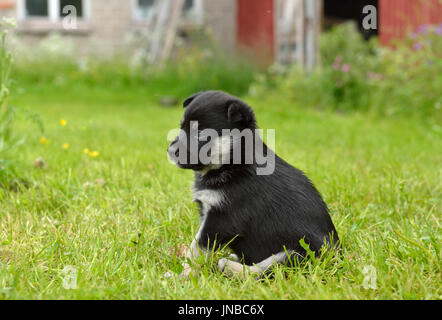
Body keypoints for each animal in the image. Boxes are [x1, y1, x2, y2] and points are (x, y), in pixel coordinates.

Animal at [167, 90, 338, 278]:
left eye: (200, 134)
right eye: (182, 127)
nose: (170, 151)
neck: (231, 163)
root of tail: (337, 255)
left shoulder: (221, 220)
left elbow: (196, 247)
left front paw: (184, 275)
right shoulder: (207, 211)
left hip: (299, 252)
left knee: (262, 271)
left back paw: (229, 266)